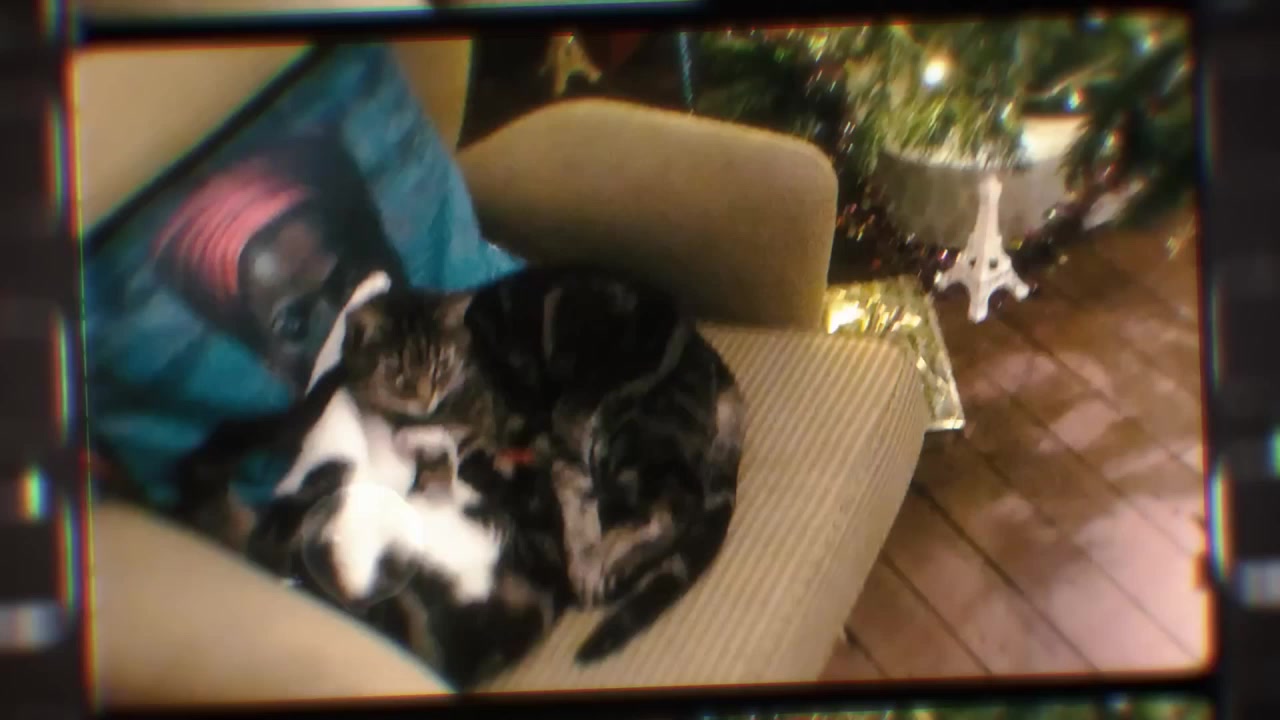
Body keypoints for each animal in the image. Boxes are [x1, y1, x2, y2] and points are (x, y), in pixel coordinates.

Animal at [337, 264, 747, 662]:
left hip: (610, 424)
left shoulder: (508, 437)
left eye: (441, 363)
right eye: (395, 368)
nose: (425, 396)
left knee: (672, 504)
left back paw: (602, 559)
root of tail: (709, 355)